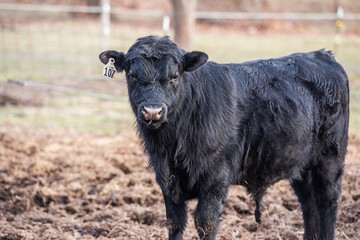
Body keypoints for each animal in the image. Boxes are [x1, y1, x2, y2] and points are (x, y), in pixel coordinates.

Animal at [98, 36, 348, 240]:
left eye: (174, 76)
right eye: (132, 75)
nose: (152, 111)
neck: (173, 144)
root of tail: (322, 54)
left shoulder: (215, 178)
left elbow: (206, 224)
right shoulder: (166, 178)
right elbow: (175, 223)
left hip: (330, 159)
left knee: (327, 202)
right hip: (301, 165)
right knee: (309, 205)